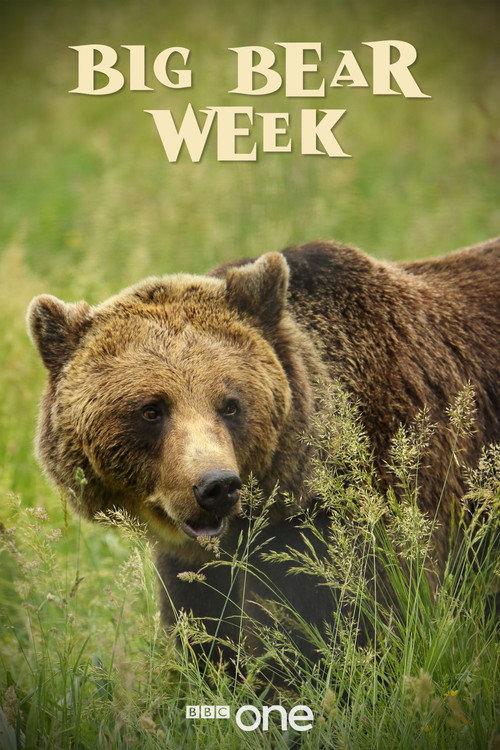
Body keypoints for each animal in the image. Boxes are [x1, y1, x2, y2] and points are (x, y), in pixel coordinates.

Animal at [27, 238, 499, 669]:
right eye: (151, 409)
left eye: (230, 404)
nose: (216, 486)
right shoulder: (194, 568)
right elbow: (206, 634)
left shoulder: (387, 498)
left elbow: (366, 624)